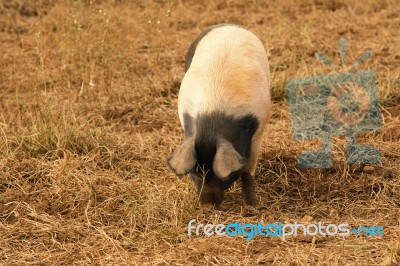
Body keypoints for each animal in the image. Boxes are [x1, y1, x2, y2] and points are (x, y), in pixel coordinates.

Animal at [167, 23, 270, 207]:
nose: (207, 206)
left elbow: (247, 172)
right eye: (195, 172)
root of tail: (229, 25)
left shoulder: (259, 128)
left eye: (218, 175)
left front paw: (254, 205)